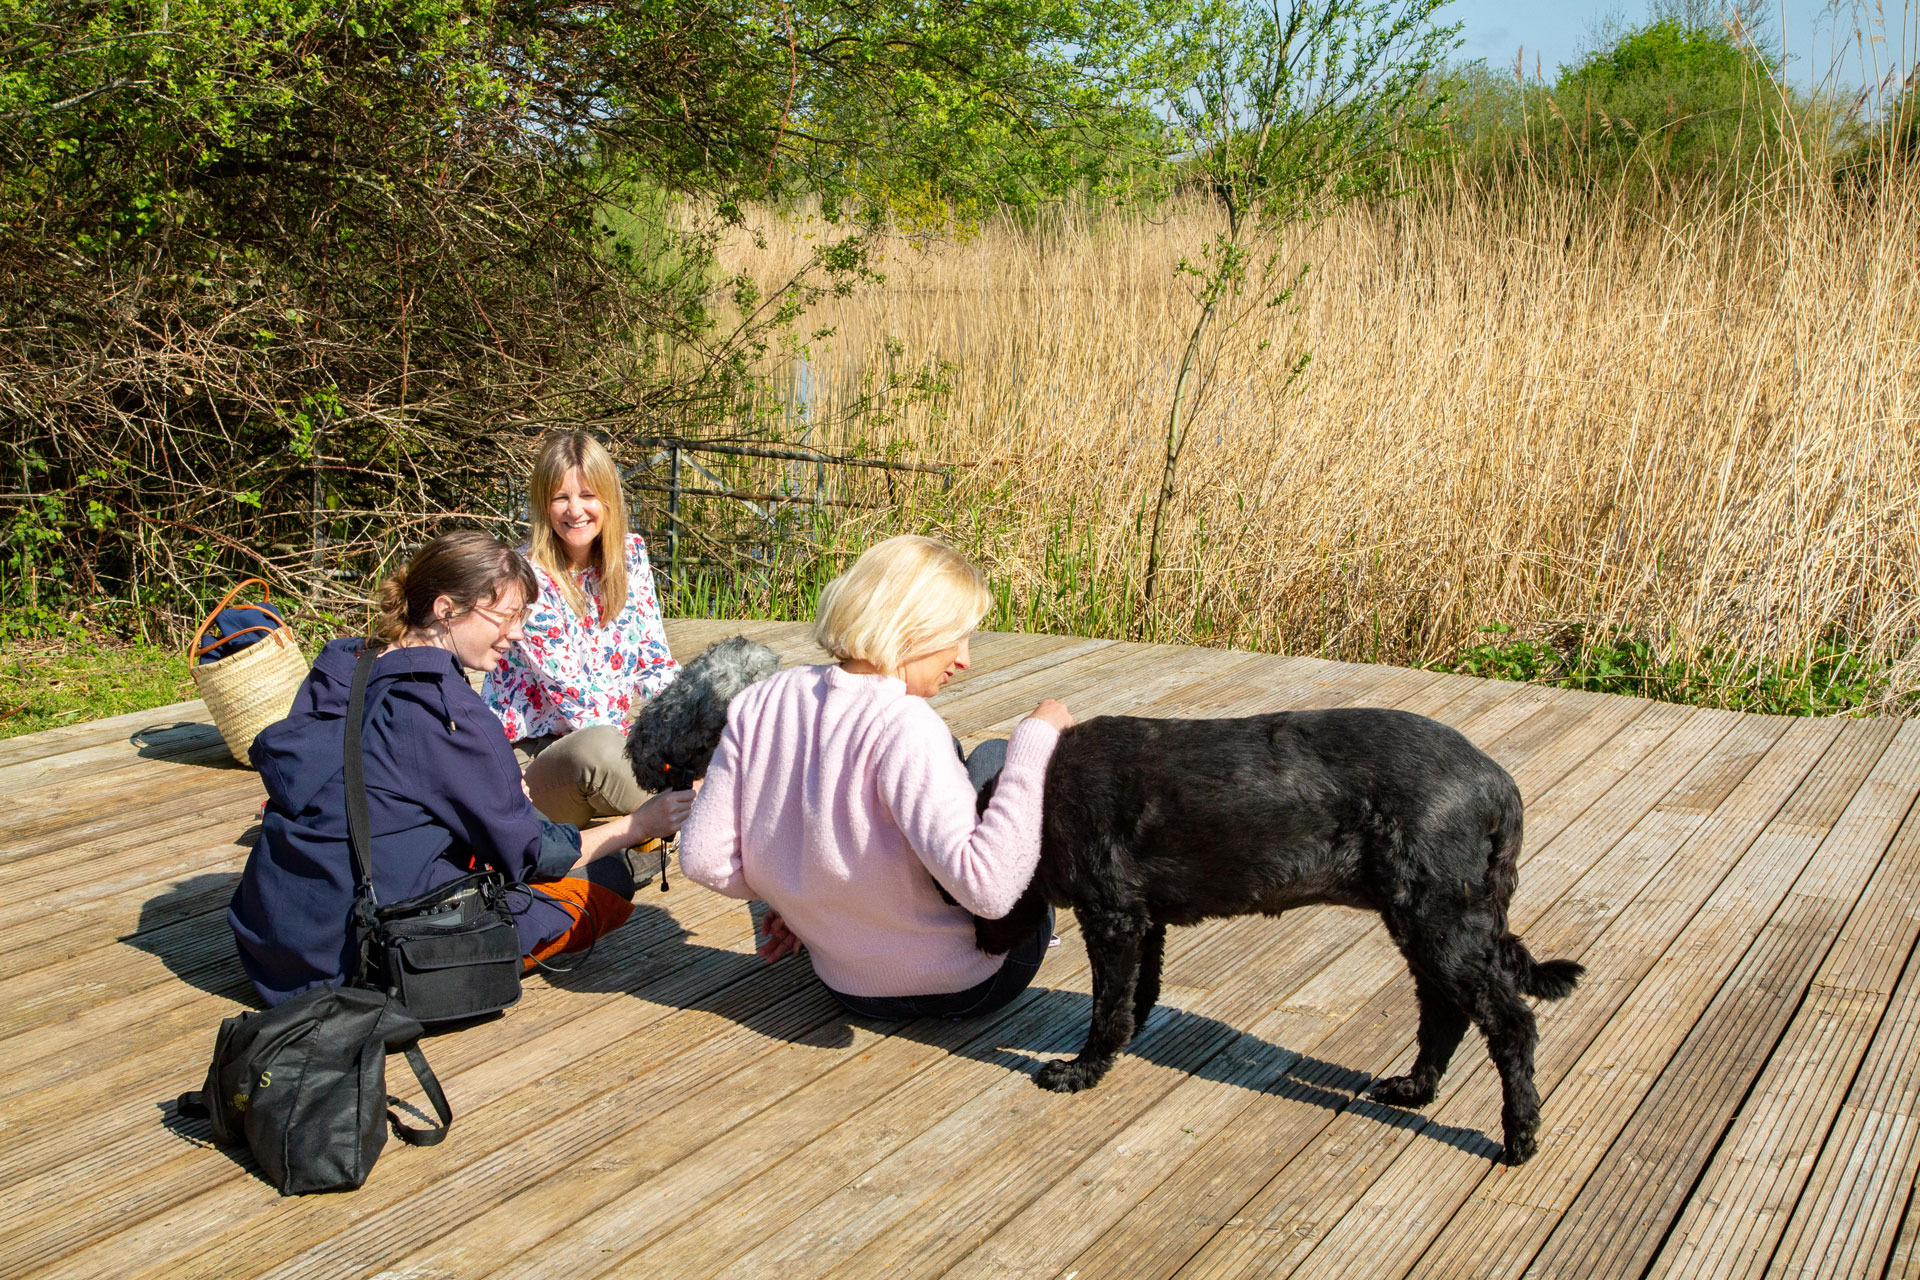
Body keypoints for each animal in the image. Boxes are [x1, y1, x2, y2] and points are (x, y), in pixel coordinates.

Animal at [983, 710, 1582, 1174]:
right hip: (1427, 925)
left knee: (1510, 1024)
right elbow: (1138, 994)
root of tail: (1499, 783)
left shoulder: (1111, 916)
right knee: (1443, 1013)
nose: (986, 947)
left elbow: (1108, 1005)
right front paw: (1119, 1047)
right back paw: (1415, 1089)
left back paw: (1518, 1135)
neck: (1042, 798)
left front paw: (1081, 1069)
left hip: (1438, 922)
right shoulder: (1143, 920)